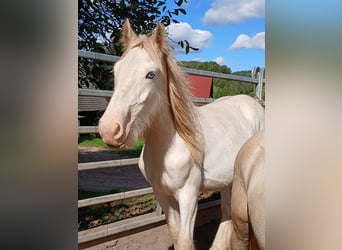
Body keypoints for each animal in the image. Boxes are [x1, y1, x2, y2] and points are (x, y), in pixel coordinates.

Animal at [99, 20, 264, 250]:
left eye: (151, 74)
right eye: (116, 71)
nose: (109, 129)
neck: (172, 146)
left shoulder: (188, 196)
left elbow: (185, 240)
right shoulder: (162, 195)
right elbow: (176, 235)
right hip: (229, 181)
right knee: (227, 212)